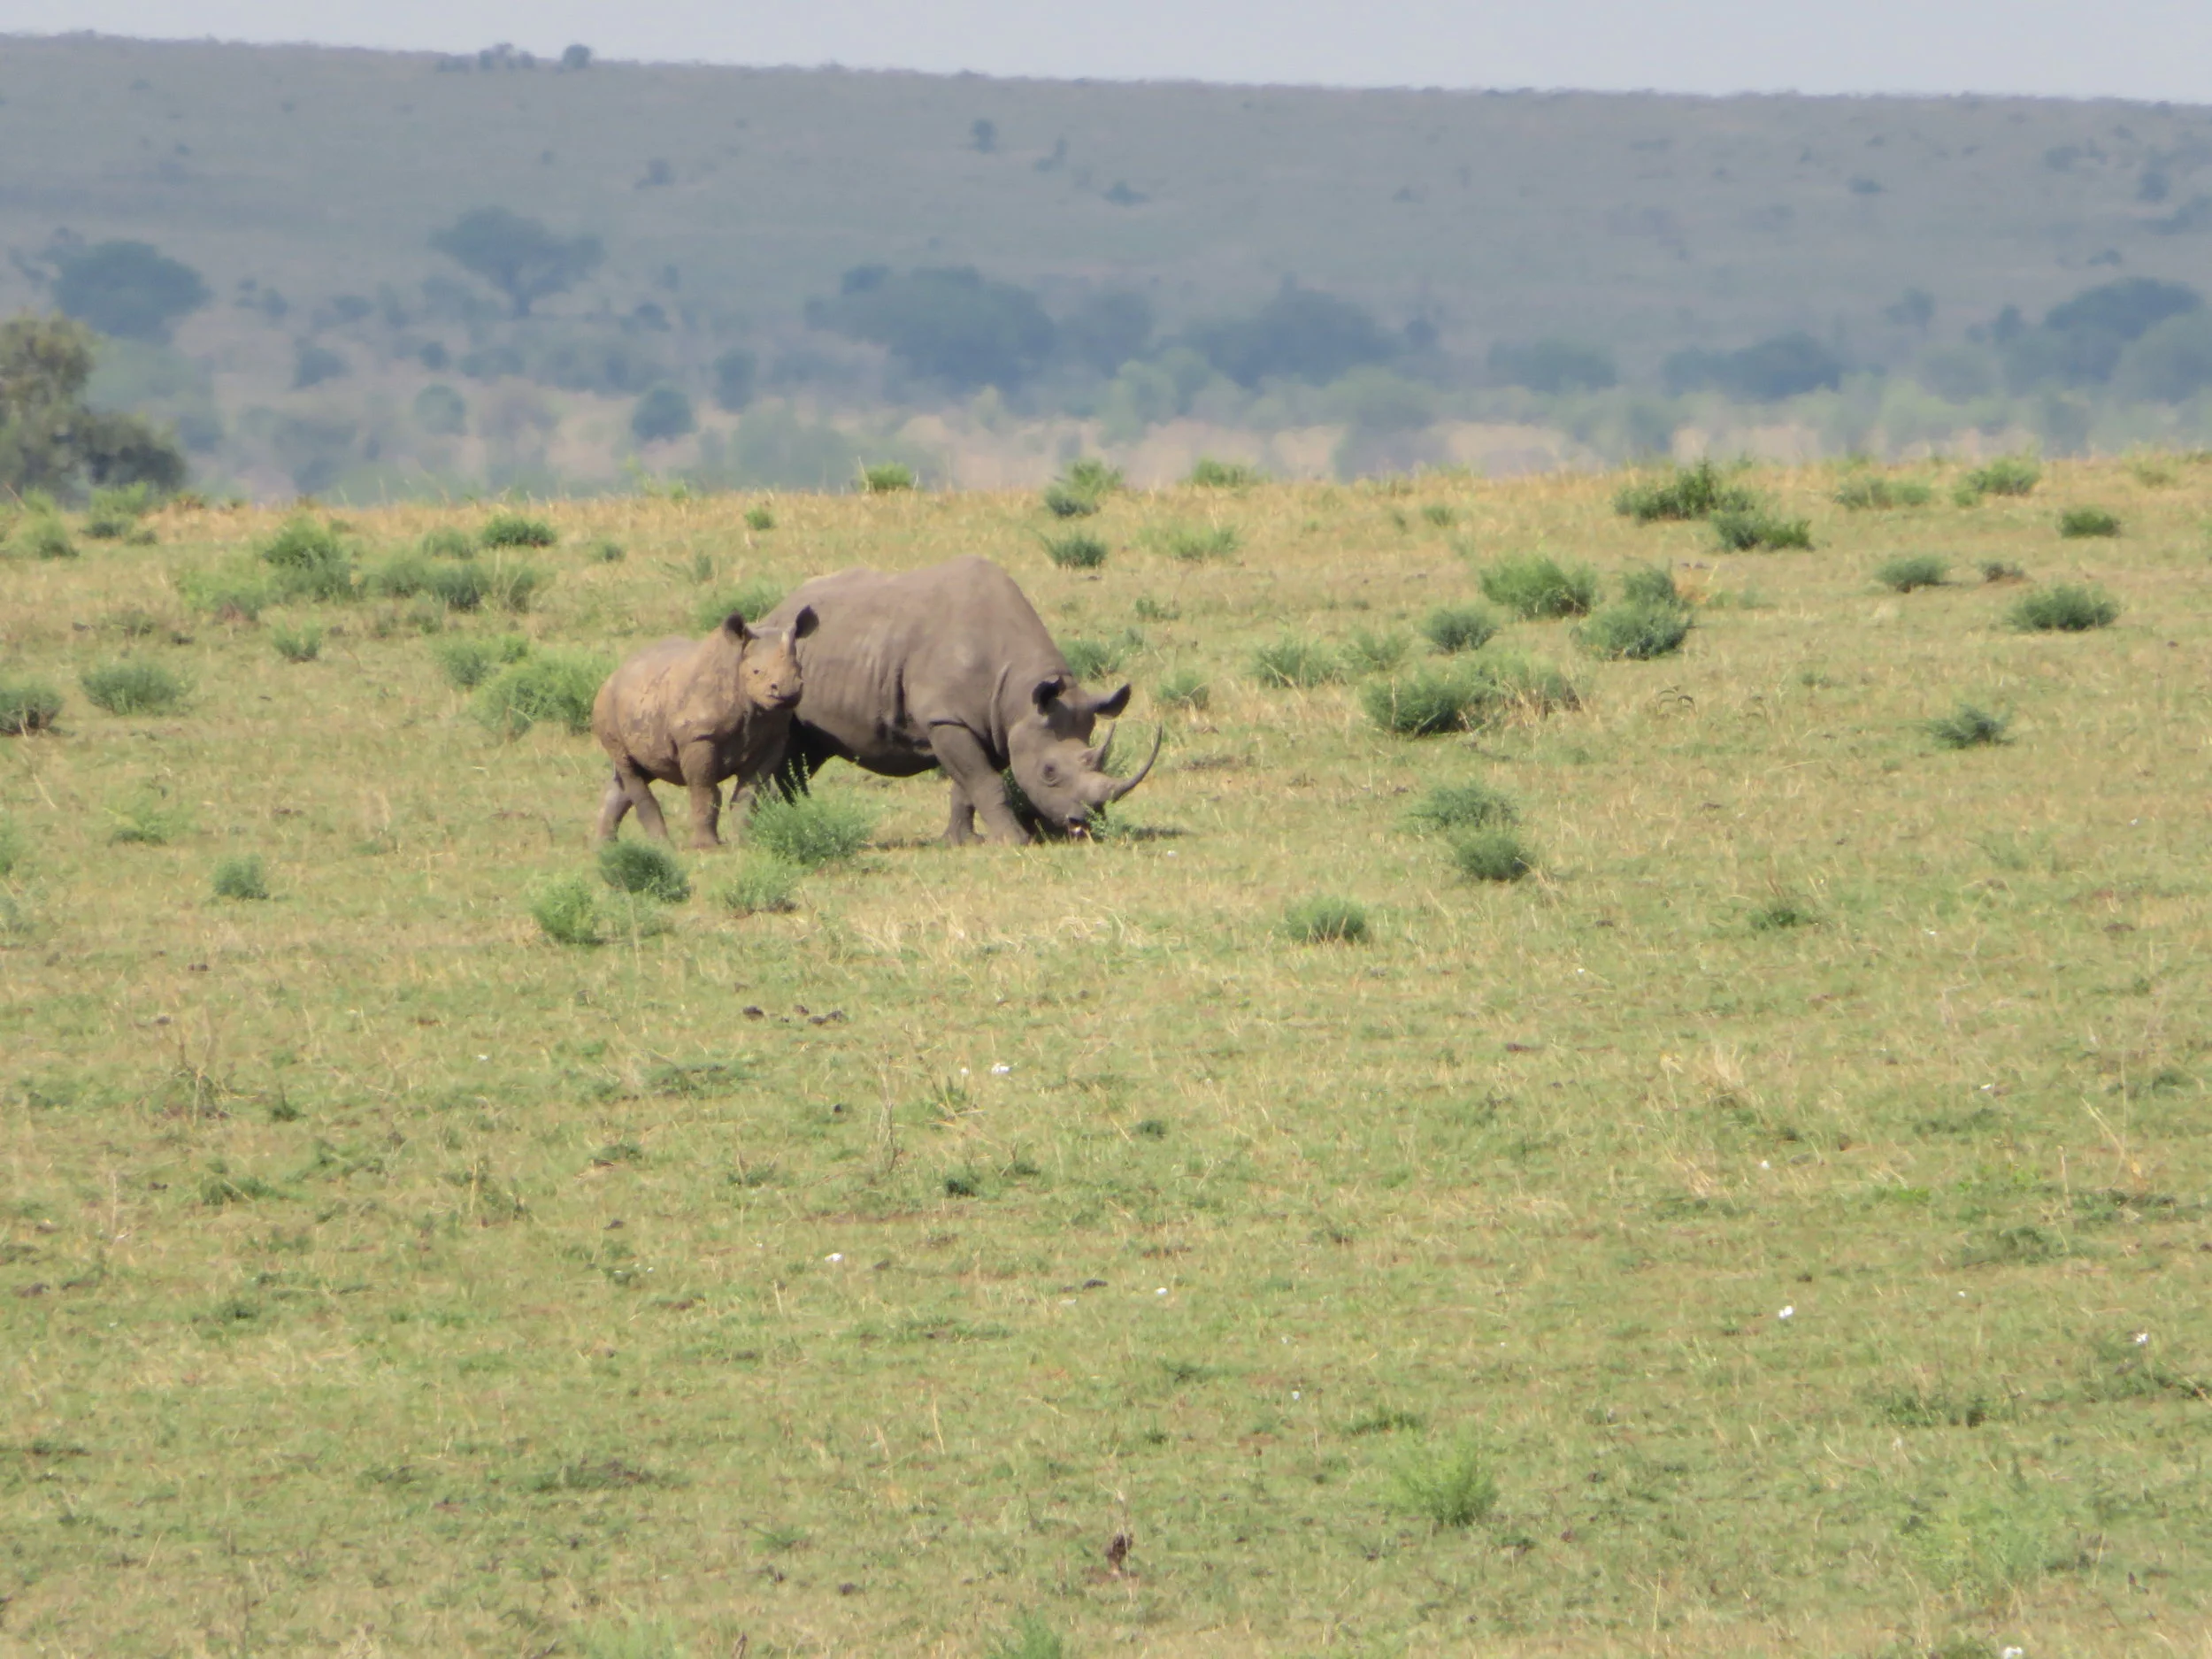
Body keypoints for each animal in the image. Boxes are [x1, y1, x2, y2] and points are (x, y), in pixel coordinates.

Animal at [590, 607, 818, 848]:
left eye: (800, 669)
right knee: (630, 769)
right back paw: (661, 846)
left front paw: (745, 843)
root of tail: (613, 675)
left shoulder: (773, 739)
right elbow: (705, 791)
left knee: (636, 772)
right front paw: (706, 847)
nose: (788, 690)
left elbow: (748, 793)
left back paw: (604, 849)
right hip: (606, 708)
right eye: (757, 672)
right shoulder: (699, 737)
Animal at [758, 556, 1159, 843]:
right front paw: (1015, 841)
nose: (1085, 822)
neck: (1021, 693)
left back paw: (792, 819)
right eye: (1049, 772)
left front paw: (962, 841)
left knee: (807, 752)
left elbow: (967, 787)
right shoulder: (947, 718)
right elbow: (985, 782)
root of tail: (777, 610)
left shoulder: (994, 723)